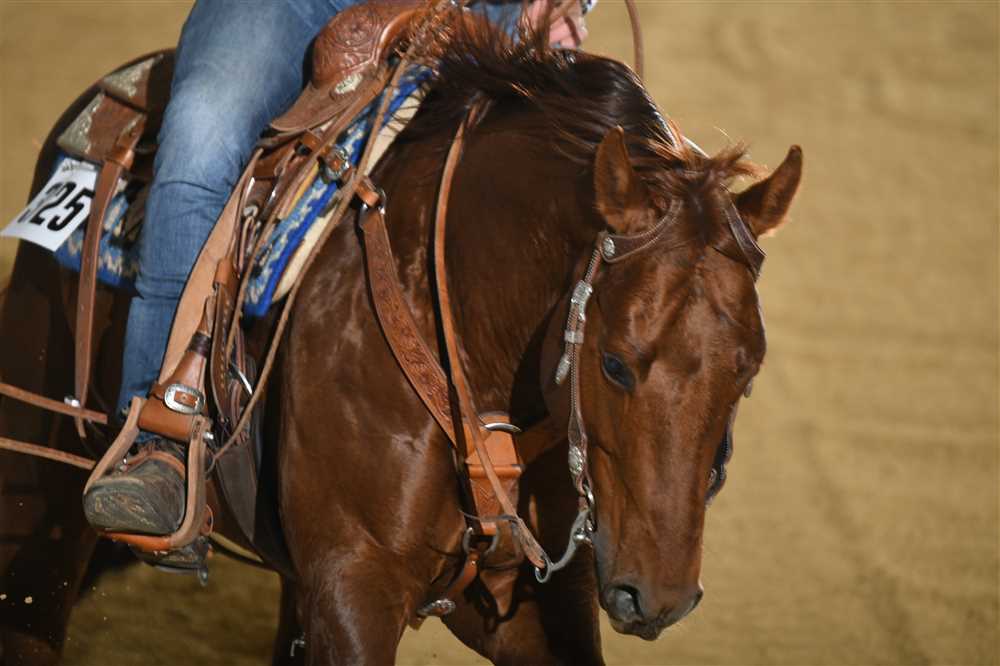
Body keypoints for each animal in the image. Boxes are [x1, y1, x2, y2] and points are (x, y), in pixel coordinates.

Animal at [0, 20, 801, 665]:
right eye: (613, 364)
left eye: (747, 373)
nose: (659, 597)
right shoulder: (352, 584)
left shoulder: (532, 602)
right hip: (38, 487)